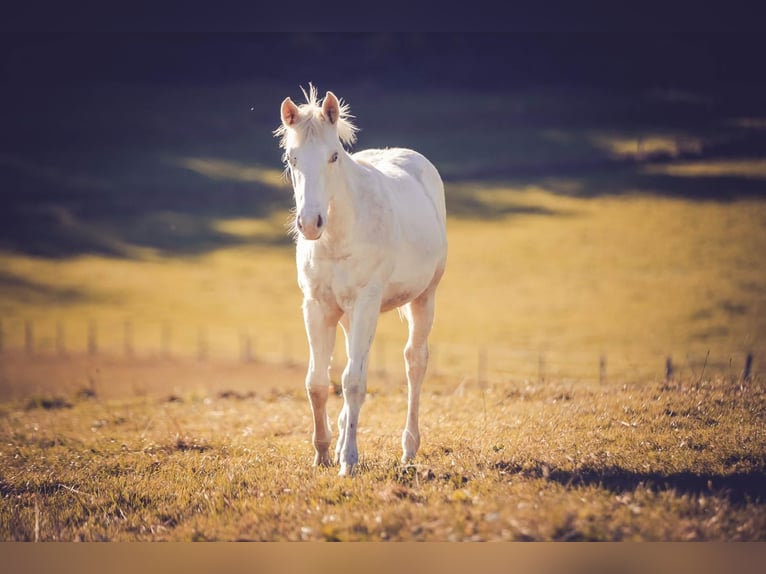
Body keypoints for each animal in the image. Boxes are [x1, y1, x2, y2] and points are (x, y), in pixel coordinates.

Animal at [276, 85, 448, 476]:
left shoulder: (367, 302)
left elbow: (353, 382)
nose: (310, 224)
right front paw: (324, 454)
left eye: (334, 156)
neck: (339, 235)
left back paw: (408, 449)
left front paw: (349, 462)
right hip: (348, 315)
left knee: (415, 362)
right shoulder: (318, 306)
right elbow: (317, 383)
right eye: (292, 158)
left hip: (424, 298)